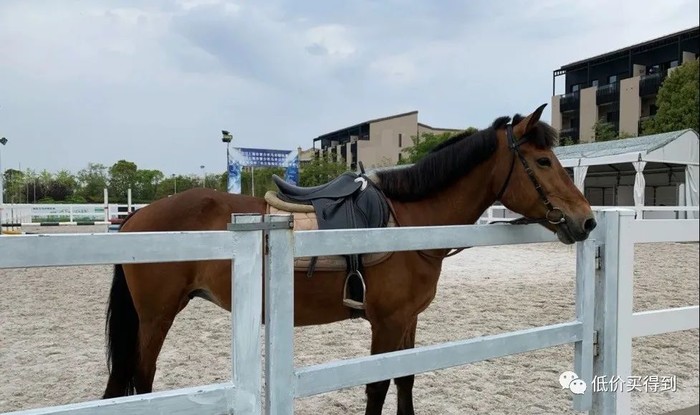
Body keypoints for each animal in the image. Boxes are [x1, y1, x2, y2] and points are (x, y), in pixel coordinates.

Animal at [102, 104, 596, 415]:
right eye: (543, 161)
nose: (587, 220)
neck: (408, 221)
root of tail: (137, 217)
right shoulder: (386, 321)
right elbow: (377, 386)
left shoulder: (408, 319)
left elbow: (404, 379)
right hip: (157, 316)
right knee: (143, 379)